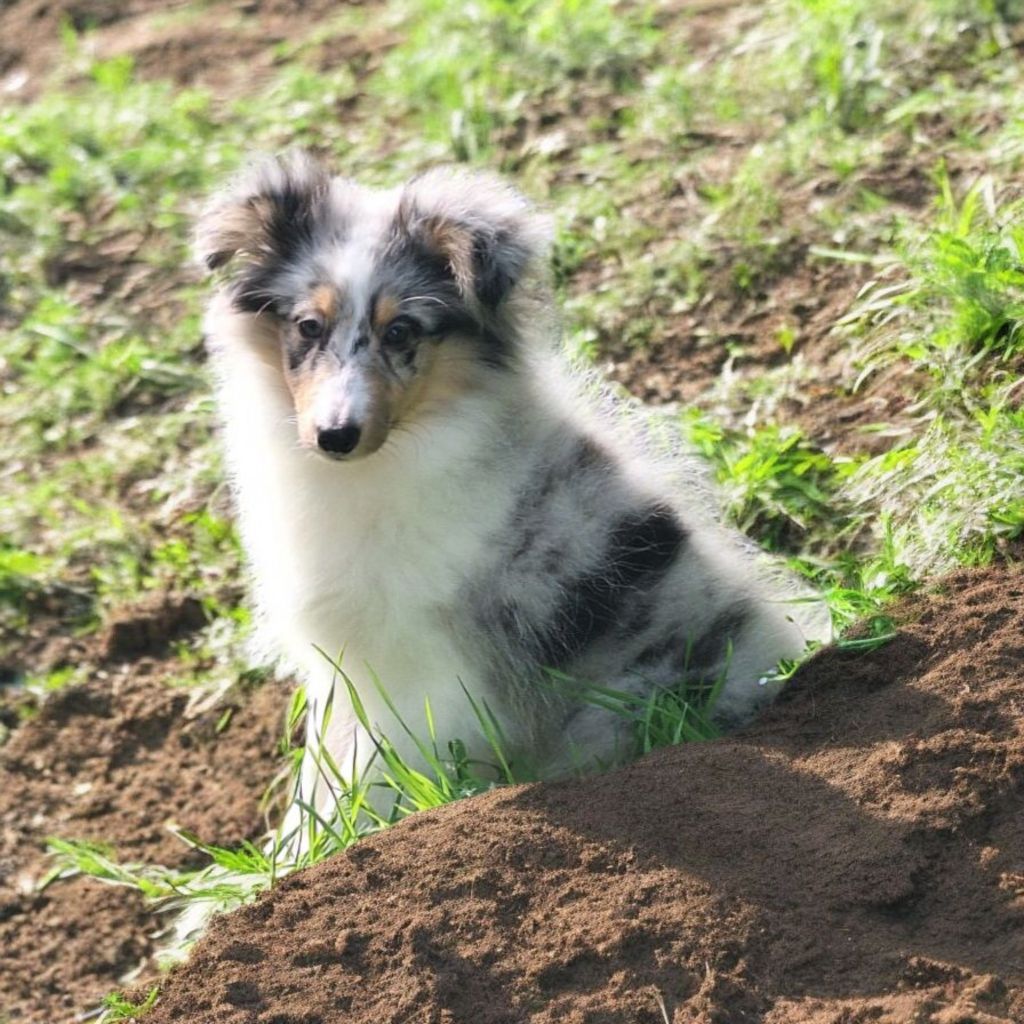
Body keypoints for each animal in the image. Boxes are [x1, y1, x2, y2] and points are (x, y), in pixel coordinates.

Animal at [195, 151, 827, 823]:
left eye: (401, 332)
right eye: (308, 326)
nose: (336, 435)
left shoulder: (427, 666)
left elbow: (375, 779)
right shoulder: (350, 665)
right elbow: (320, 776)